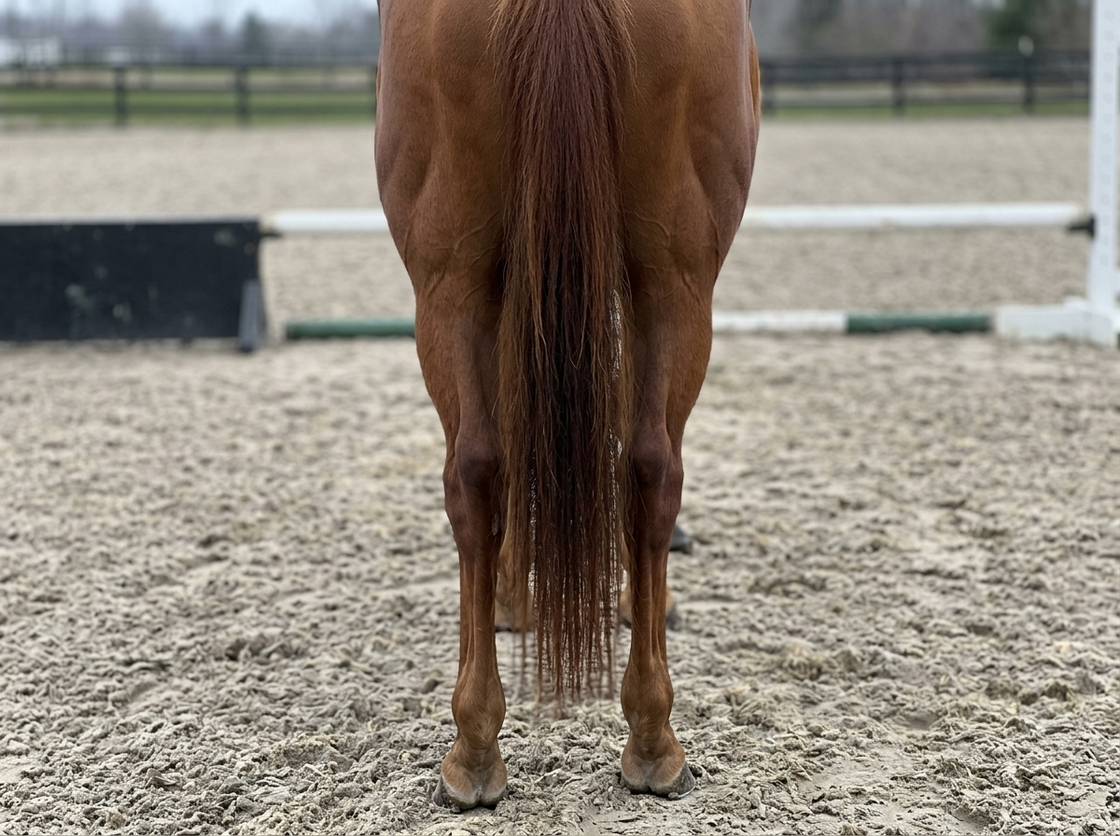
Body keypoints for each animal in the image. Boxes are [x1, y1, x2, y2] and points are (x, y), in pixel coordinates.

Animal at [375, 0, 761, 809]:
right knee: (644, 464)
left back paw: (483, 747)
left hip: (459, 278)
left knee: (490, 469)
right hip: (666, 279)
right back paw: (646, 739)